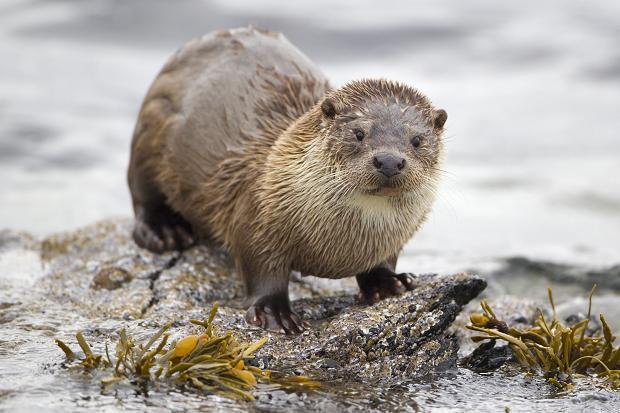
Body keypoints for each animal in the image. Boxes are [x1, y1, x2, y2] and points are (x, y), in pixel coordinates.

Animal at [127, 25, 446, 334]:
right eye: (359, 133)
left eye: (417, 140)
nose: (390, 161)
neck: (345, 243)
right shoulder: (256, 214)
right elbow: (261, 269)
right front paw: (274, 312)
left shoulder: (393, 239)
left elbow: (383, 260)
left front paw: (388, 282)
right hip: (150, 128)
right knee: (142, 192)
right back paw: (164, 231)